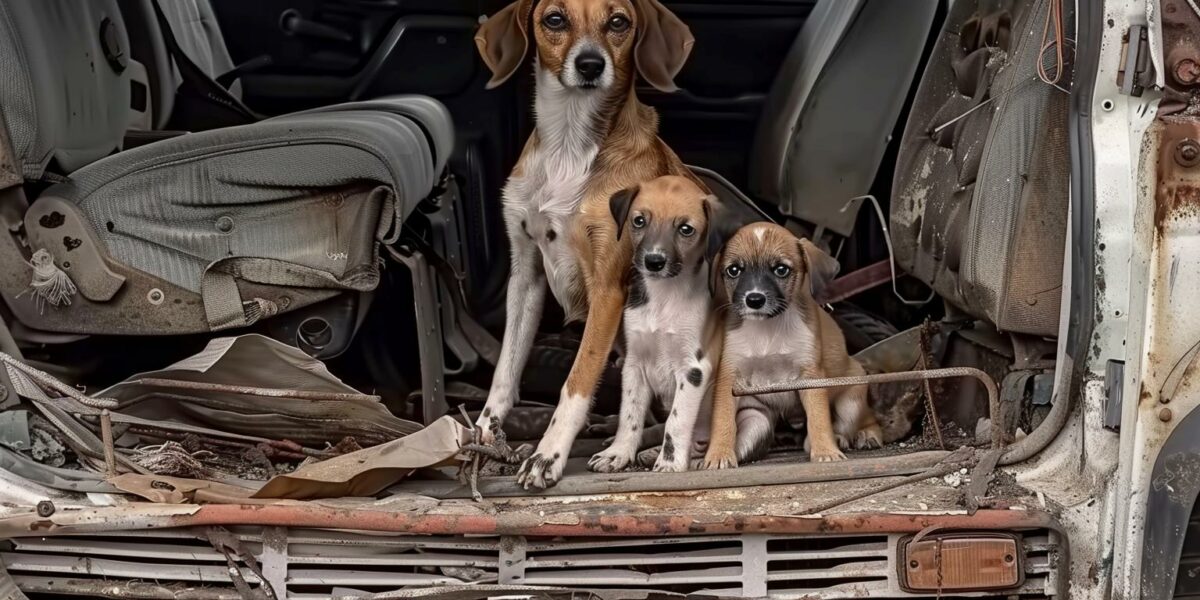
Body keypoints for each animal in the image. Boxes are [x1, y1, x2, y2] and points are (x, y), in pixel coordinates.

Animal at [472, 0, 700, 487]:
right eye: (555, 19)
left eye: (618, 22)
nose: (591, 64)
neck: (569, 145)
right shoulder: (526, 275)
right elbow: (505, 370)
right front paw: (485, 430)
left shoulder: (608, 290)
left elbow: (576, 381)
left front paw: (549, 454)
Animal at [700, 223, 888, 465]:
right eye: (734, 270)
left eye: (781, 270)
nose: (754, 299)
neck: (768, 329)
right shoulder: (728, 378)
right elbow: (723, 420)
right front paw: (719, 454)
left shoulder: (811, 375)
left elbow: (818, 418)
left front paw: (825, 451)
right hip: (758, 418)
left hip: (851, 402)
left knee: (860, 419)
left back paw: (864, 434)